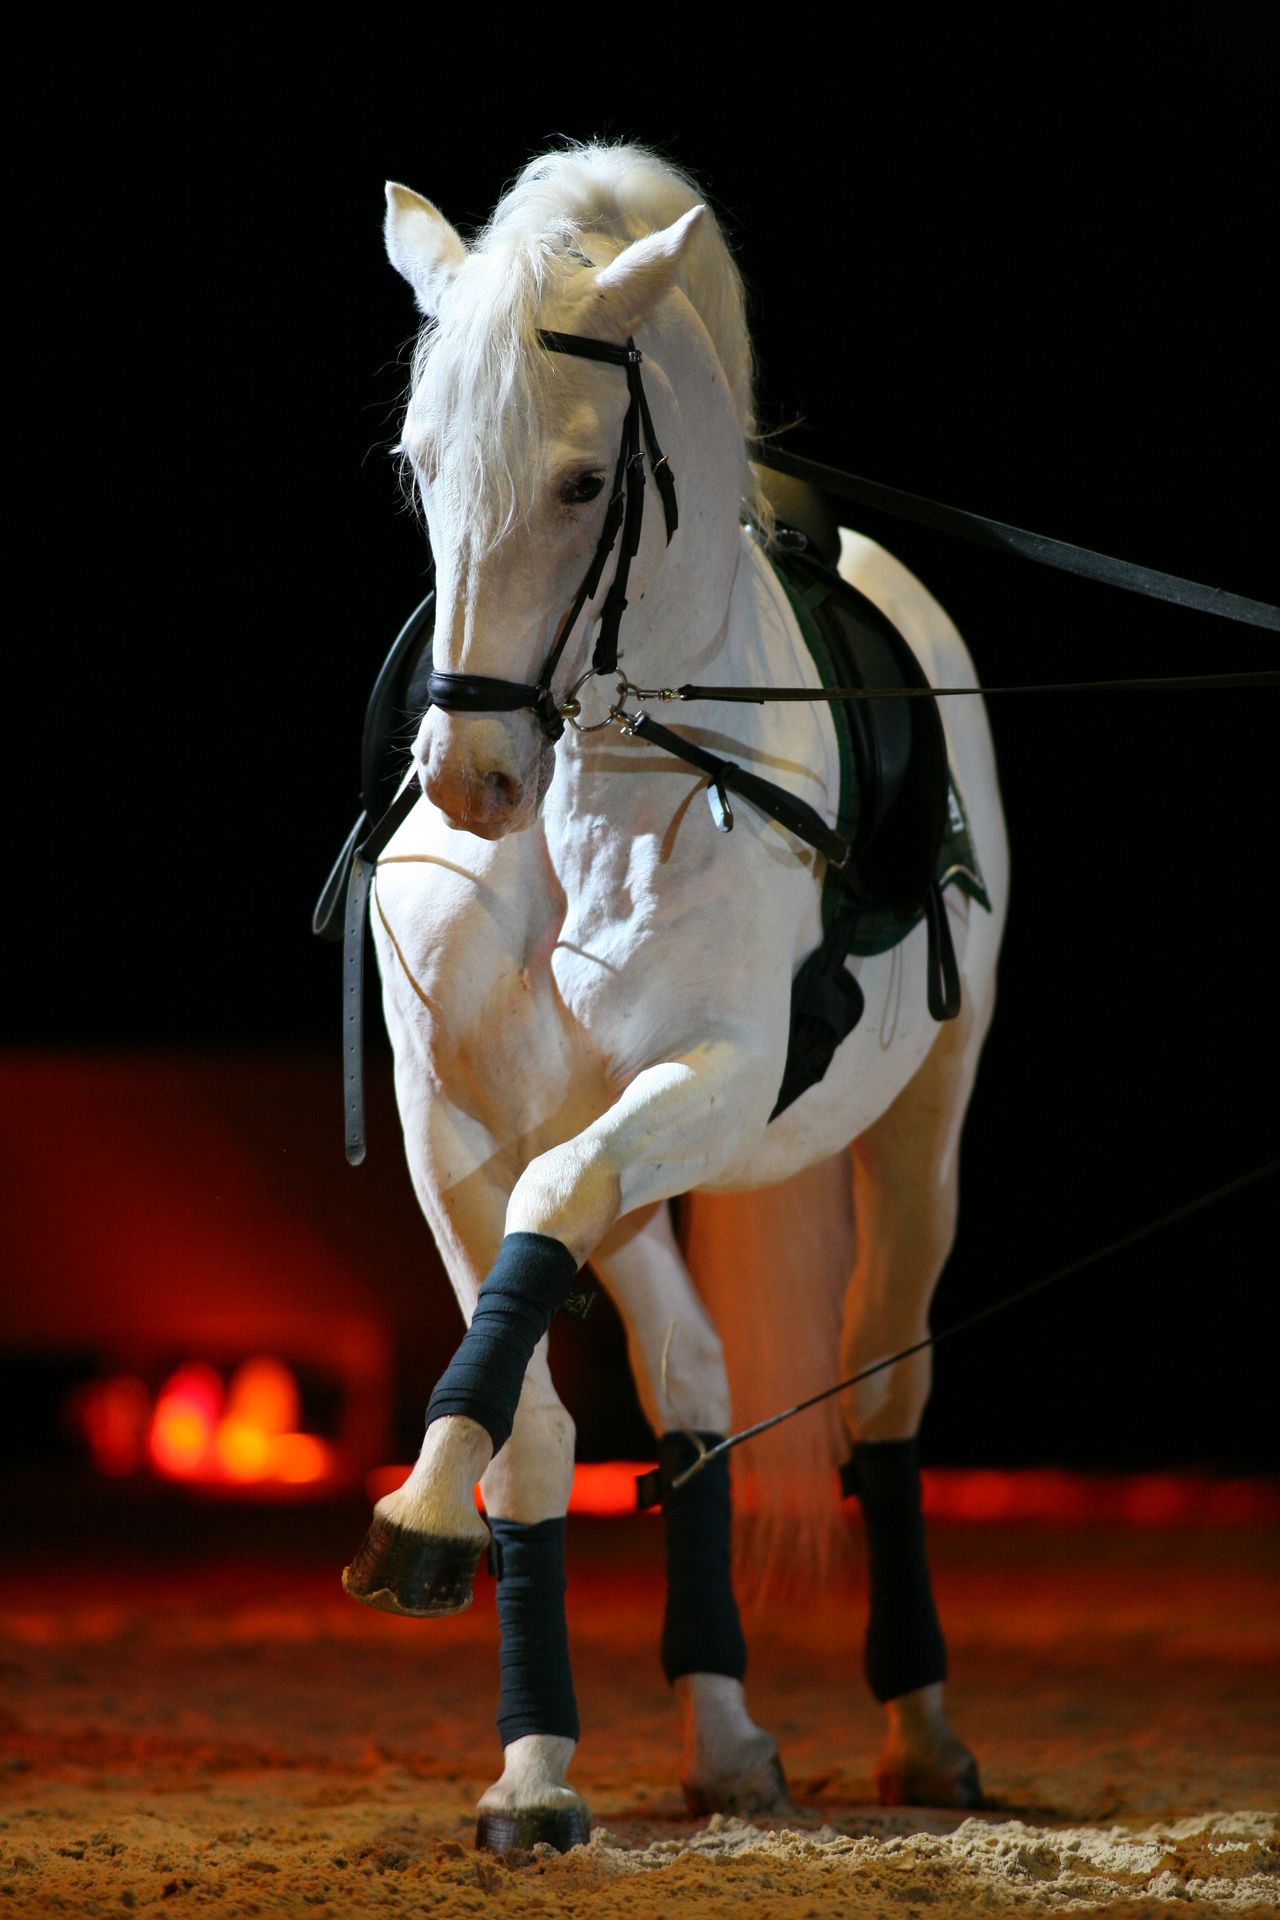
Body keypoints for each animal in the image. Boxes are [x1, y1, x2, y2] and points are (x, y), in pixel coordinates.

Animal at [339, 145, 1013, 1858]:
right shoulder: (454, 1133)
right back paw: (723, 1735)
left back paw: (926, 1732)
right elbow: (534, 1418)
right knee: (699, 1385)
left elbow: (556, 1222)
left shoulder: (698, 1084)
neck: (593, 800)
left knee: (884, 1383)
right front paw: (531, 1767)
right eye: (417, 470)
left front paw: (416, 1517)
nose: (473, 781)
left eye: (586, 486)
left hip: (922, 1129)